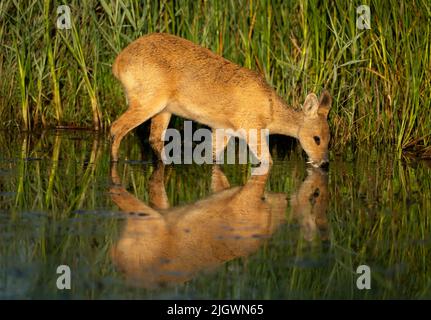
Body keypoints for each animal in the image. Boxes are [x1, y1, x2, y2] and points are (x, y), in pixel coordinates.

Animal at [109, 32, 332, 168]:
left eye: (330, 138)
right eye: (317, 138)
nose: (323, 163)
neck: (271, 110)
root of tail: (118, 63)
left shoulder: (222, 129)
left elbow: (214, 157)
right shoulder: (252, 128)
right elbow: (267, 161)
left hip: (164, 109)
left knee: (154, 137)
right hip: (147, 100)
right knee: (116, 127)